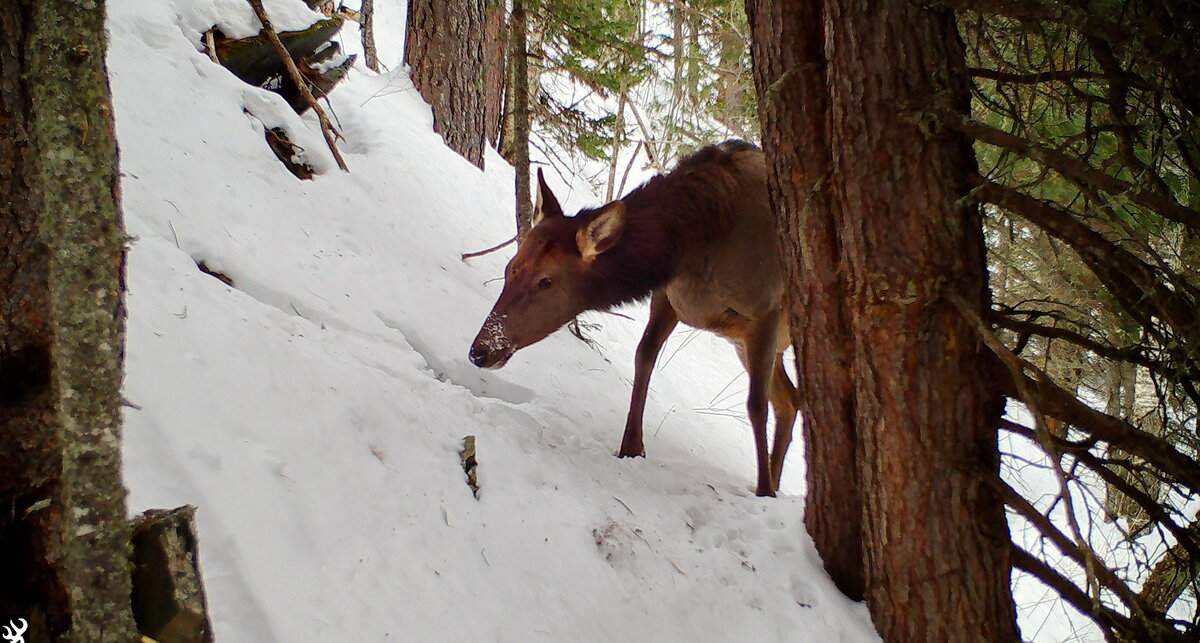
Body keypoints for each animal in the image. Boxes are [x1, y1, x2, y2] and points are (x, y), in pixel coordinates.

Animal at [470, 140, 796, 496]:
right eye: (511, 266)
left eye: (546, 281)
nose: (480, 351)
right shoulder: (666, 297)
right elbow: (644, 356)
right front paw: (631, 447)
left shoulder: (764, 310)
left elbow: (755, 404)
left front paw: (763, 491)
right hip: (747, 346)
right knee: (790, 401)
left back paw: (772, 484)